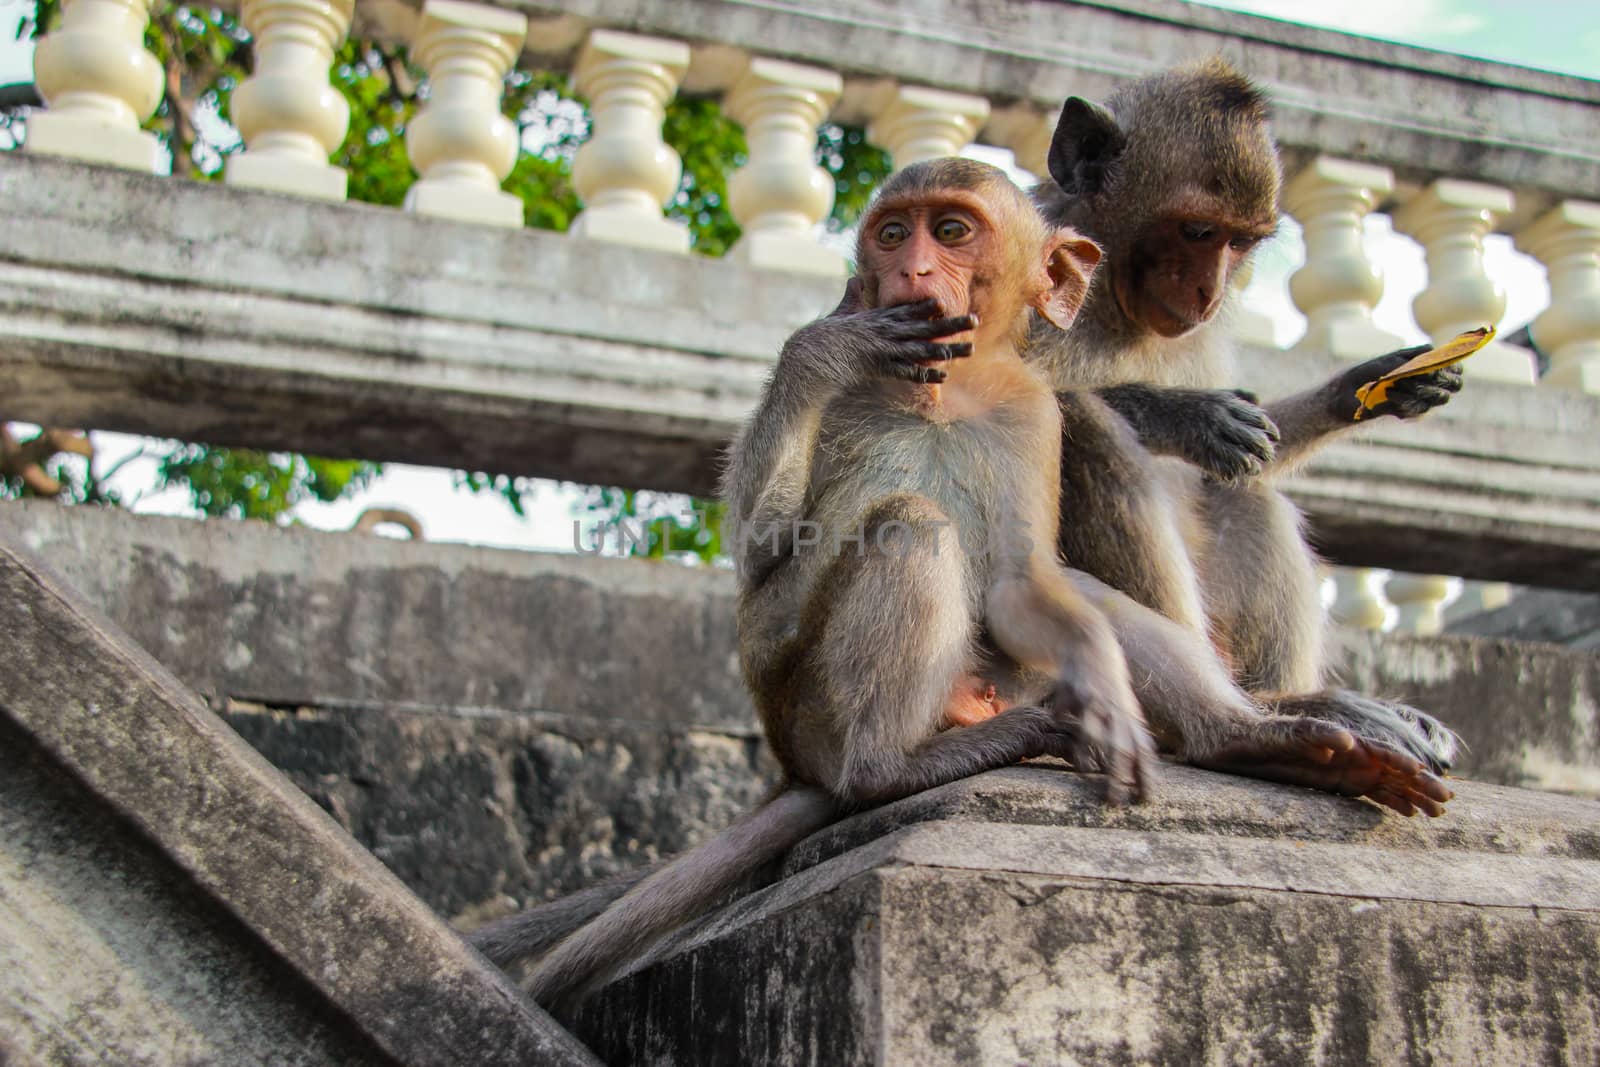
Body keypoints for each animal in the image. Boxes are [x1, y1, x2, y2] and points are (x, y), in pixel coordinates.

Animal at [1024, 54, 1465, 796]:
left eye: (1240, 243)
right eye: (1198, 232)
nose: (1206, 290)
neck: (1108, 287)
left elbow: (1263, 446)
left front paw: (1371, 384)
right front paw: (1186, 414)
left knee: (1245, 491)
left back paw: (1280, 697)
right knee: (1085, 424)